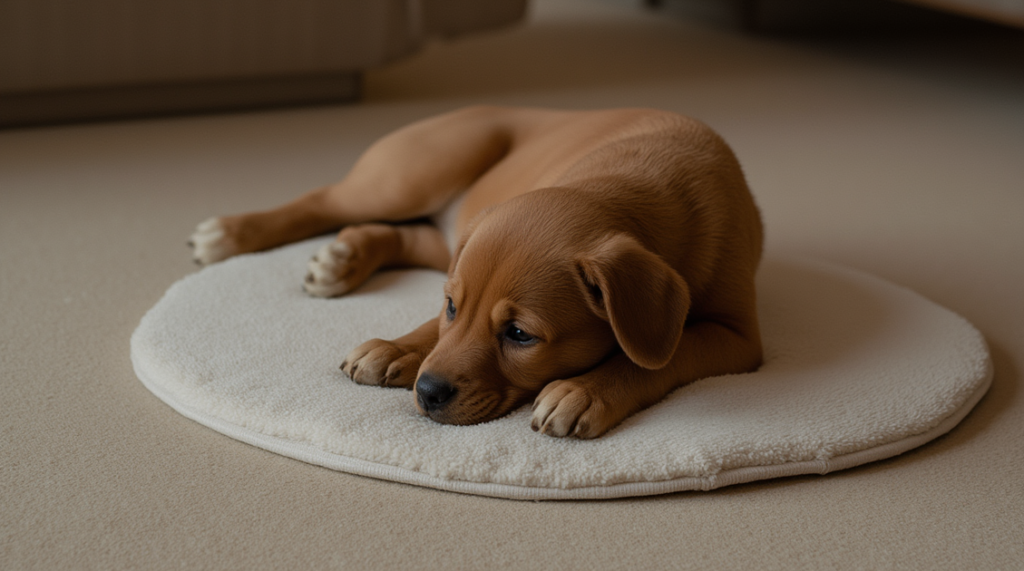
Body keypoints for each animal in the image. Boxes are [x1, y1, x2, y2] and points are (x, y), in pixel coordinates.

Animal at [190, 106, 761, 437]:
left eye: (519, 334)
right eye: (450, 305)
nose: (426, 393)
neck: (638, 185)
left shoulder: (736, 337)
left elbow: (663, 357)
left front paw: (586, 391)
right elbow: (435, 331)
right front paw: (398, 347)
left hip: (438, 223)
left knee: (401, 233)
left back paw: (343, 257)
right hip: (416, 171)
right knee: (323, 200)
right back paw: (228, 235)